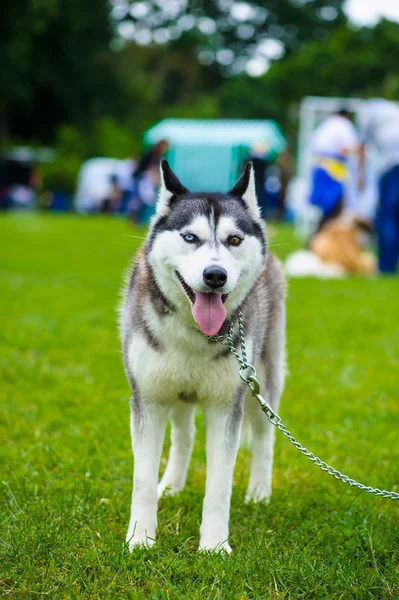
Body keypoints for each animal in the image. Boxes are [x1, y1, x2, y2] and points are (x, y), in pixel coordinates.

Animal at [120, 161, 286, 552]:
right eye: (190, 238)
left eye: (234, 240)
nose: (215, 275)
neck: (194, 334)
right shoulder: (148, 400)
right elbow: (143, 479)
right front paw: (140, 540)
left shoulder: (227, 406)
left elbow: (219, 485)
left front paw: (214, 546)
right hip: (177, 392)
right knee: (184, 435)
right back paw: (172, 485)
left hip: (261, 382)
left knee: (264, 437)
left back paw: (259, 493)